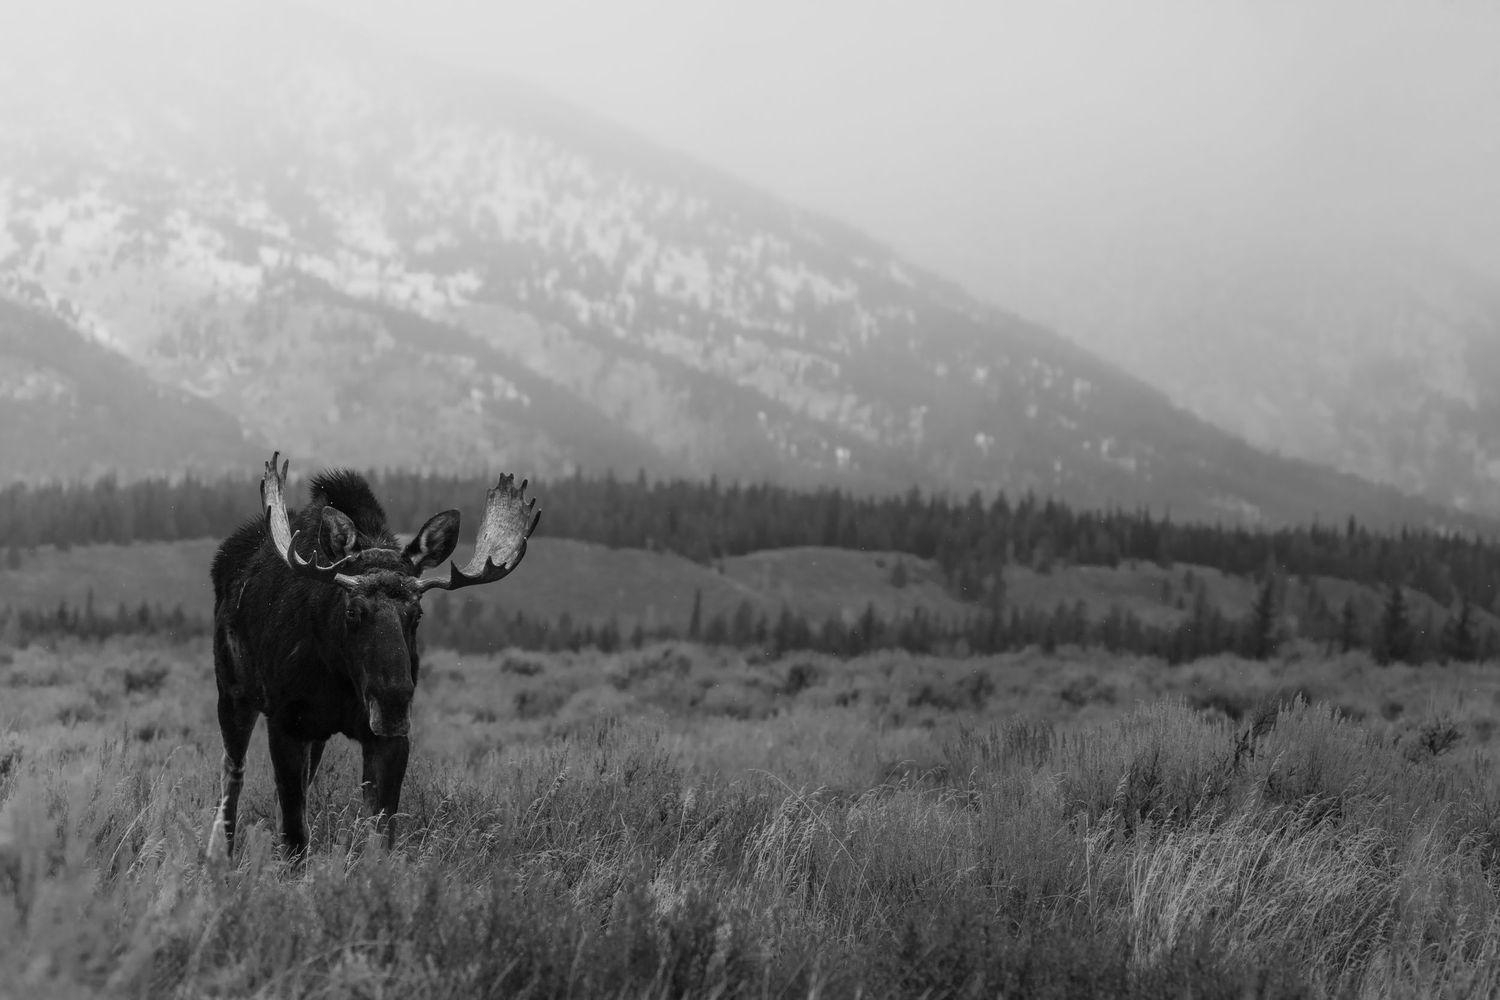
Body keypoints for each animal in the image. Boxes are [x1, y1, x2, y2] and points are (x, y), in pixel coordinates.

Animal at [209, 452, 540, 859]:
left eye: (417, 614)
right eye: (352, 610)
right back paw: (218, 853)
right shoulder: (285, 722)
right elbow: (295, 834)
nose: (393, 699)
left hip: (316, 734)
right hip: (233, 695)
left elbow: (380, 833)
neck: (340, 678)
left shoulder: (387, 737)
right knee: (232, 774)